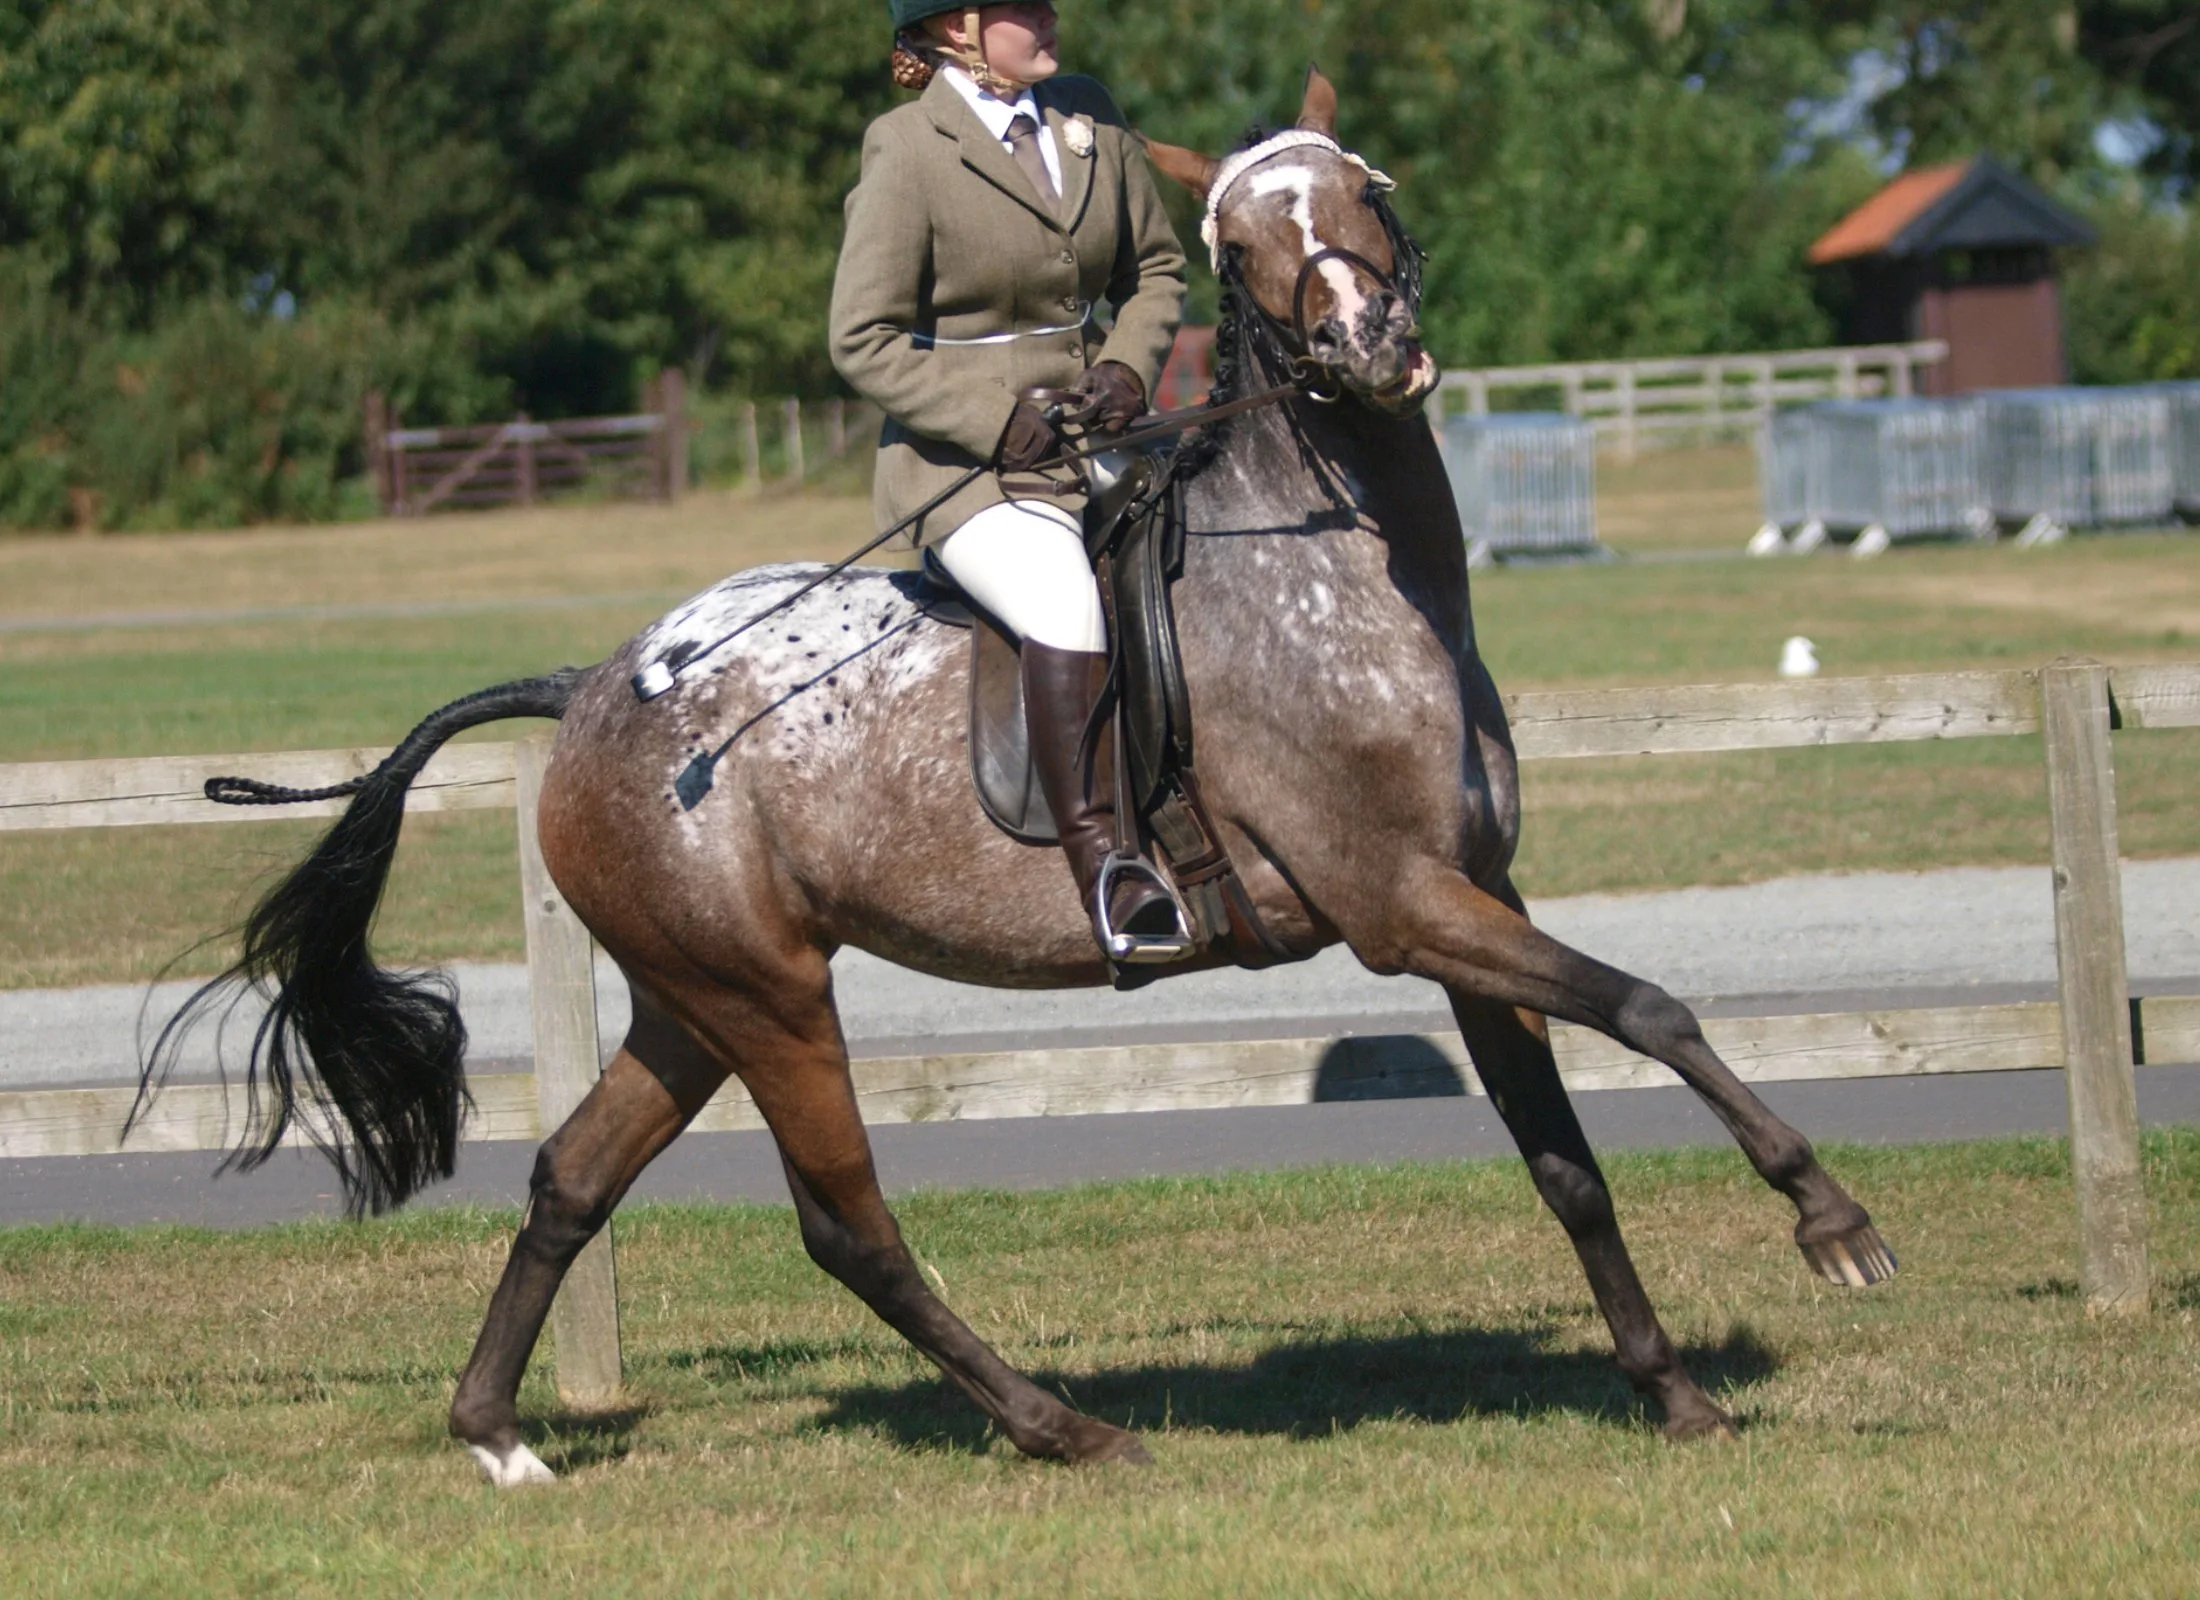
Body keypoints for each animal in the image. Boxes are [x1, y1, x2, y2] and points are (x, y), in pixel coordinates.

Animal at [141, 72, 1892, 1487]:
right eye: (1234, 235)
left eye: (1367, 185)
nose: (1369, 345)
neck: (1344, 567)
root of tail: (590, 694)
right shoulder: (1404, 907)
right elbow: (1653, 1007)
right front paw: (1832, 1226)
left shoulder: (1477, 900)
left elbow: (1564, 1159)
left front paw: (1673, 1396)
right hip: (773, 999)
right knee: (848, 1226)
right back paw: (1065, 1428)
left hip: (692, 999)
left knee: (574, 1177)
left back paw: (496, 1433)